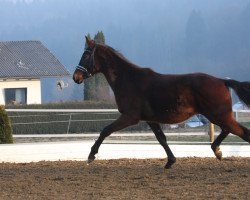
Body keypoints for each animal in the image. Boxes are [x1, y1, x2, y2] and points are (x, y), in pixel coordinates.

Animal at [73, 36, 250, 169]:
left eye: (86, 55)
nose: (76, 77)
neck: (129, 80)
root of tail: (222, 81)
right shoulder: (150, 119)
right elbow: (161, 138)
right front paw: (170, 161)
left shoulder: (130, 117)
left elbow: (105, 130)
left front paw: (91, 155)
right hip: (219, 116)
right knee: (229, 130)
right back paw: (217, 150)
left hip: (218, 115)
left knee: (242, 132)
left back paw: (217, 150)